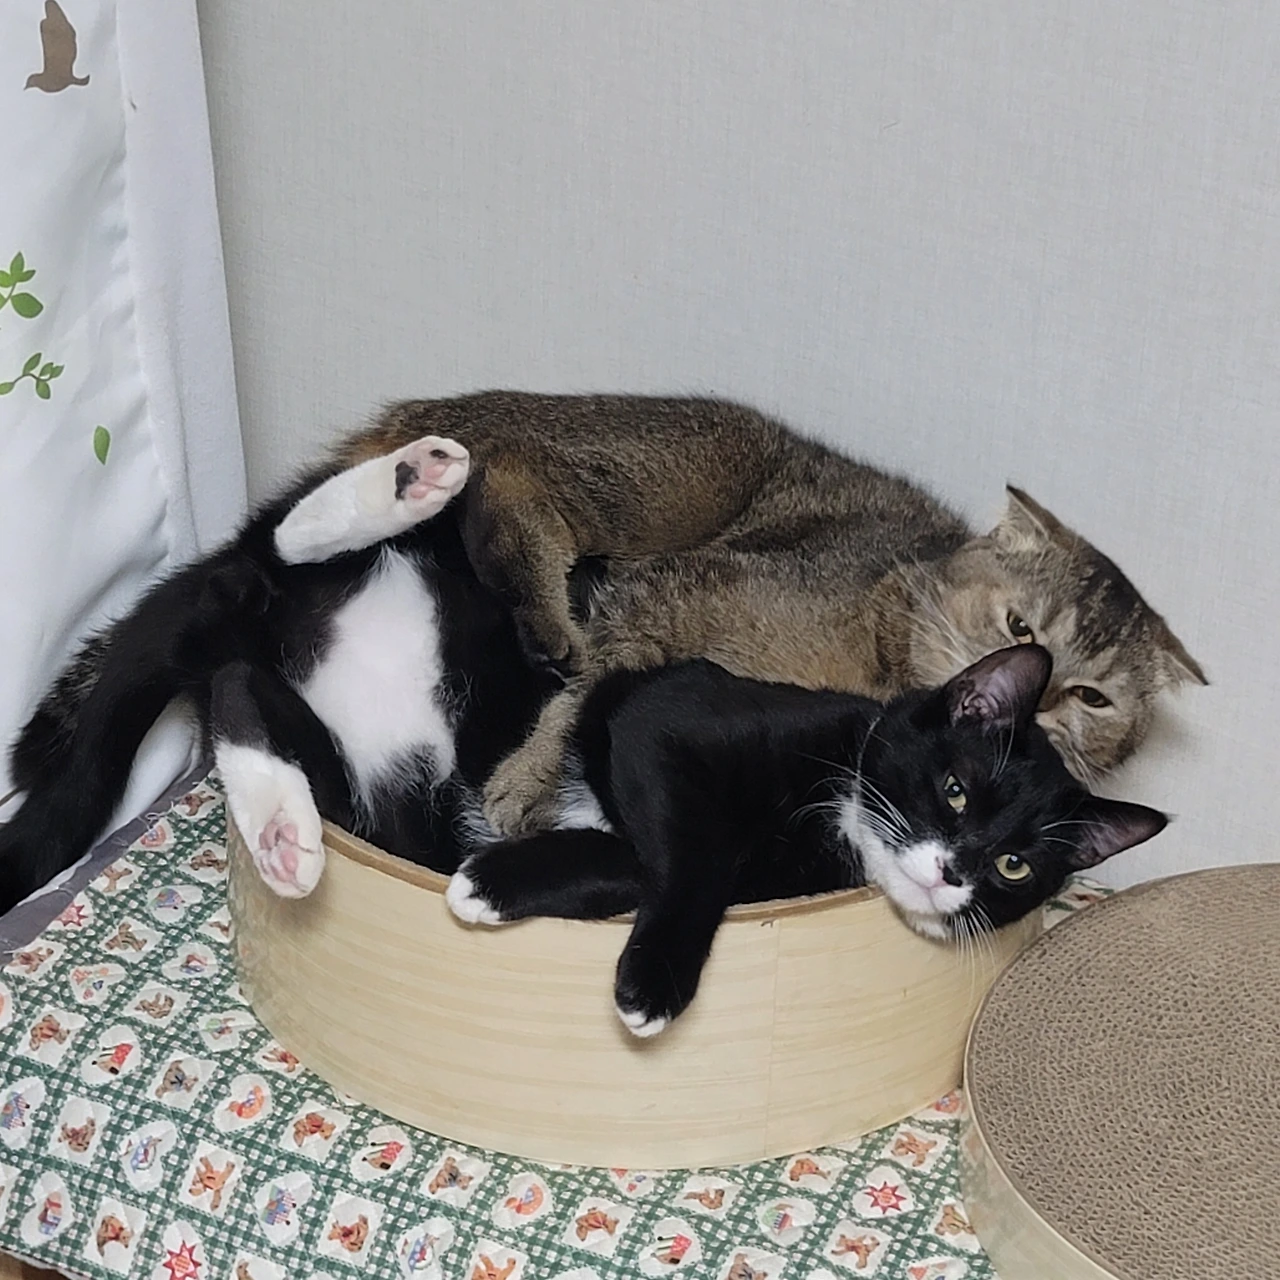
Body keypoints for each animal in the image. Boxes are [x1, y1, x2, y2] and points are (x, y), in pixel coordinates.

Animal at [298, 392, 1204, 834]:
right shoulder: (671, 592)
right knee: (514, 473)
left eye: (1094, 699)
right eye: (1023, 630)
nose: (1046, 701)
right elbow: (581, 698)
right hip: (664, 482)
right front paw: (526, 778)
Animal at [445, 644, 1166, 1036]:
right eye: (956, 789)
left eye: (1014, 866)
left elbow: (660, 860)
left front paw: (492, 881)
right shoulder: (664, 726)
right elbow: (696, 855)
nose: (950, 873)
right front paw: (655, 983)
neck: (843, 817)